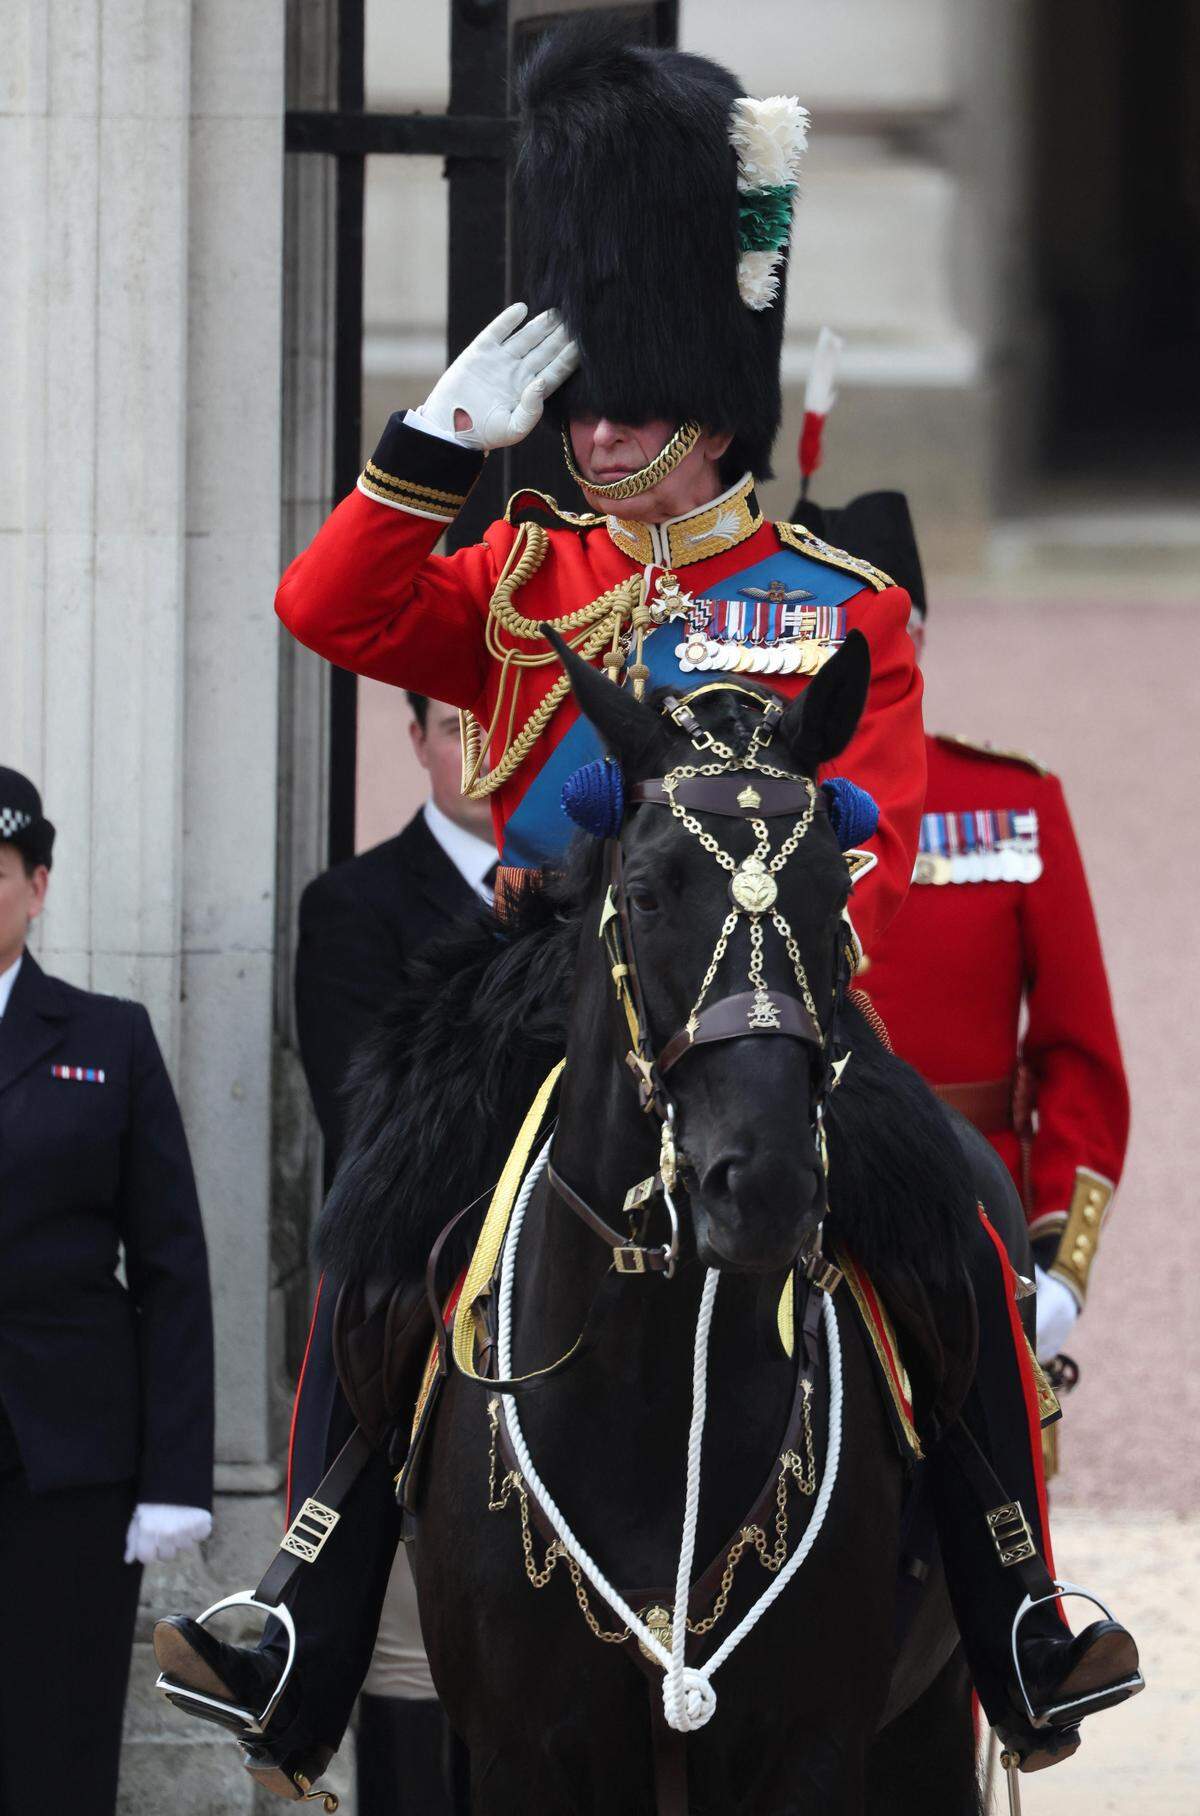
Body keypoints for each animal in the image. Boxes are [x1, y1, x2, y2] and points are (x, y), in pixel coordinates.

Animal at [343, 639, 1023, 1816]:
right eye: (650, 894)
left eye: (836, 888)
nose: (762, 1186)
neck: (654, 1385)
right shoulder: (521, 1754)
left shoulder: (811, 1749)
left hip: (929, 1718)